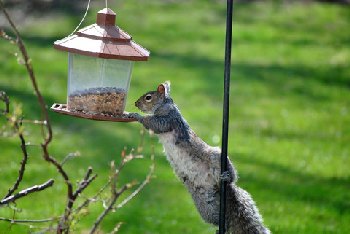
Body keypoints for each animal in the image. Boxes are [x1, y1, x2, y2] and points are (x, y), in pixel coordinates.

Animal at [130, 81, 270, 233]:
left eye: (148, 97)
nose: (136, 103)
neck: (164, 105)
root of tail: (216, 185)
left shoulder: (170, 119)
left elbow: (156, 124)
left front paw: (136, 116)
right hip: (204, 204)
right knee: (216, 218)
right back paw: (221, 225)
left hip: (216, 156)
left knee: (232, 178)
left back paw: (227, 176)